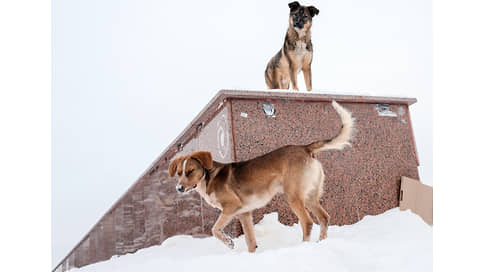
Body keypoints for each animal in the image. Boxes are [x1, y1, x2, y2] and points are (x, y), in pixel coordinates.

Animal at [168, 100, 354, 253]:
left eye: (190, 171)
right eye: (179, 173)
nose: (179, 188)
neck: (207, 177)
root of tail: (305, 148)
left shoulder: (231, 207)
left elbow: (214, 230)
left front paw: (229, 242)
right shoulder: (245, 214)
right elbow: (251, 242)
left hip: (293, 196)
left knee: (307, 222)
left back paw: (303, 247)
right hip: (309, 196)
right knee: (324, 218)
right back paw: (321, 243)